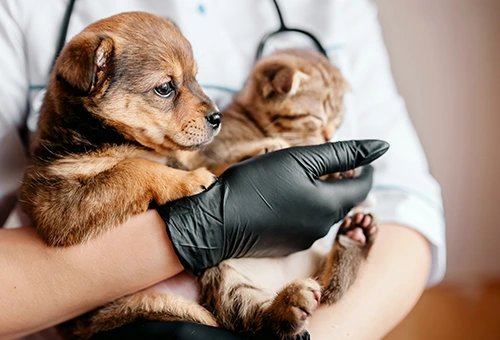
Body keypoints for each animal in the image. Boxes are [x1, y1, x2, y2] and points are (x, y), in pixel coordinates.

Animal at [19, 11, 222, 338]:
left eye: (195, 77)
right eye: (165, 87)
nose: (218, 117)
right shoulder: (57, 203)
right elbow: (133, 168)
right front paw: (188, 180)